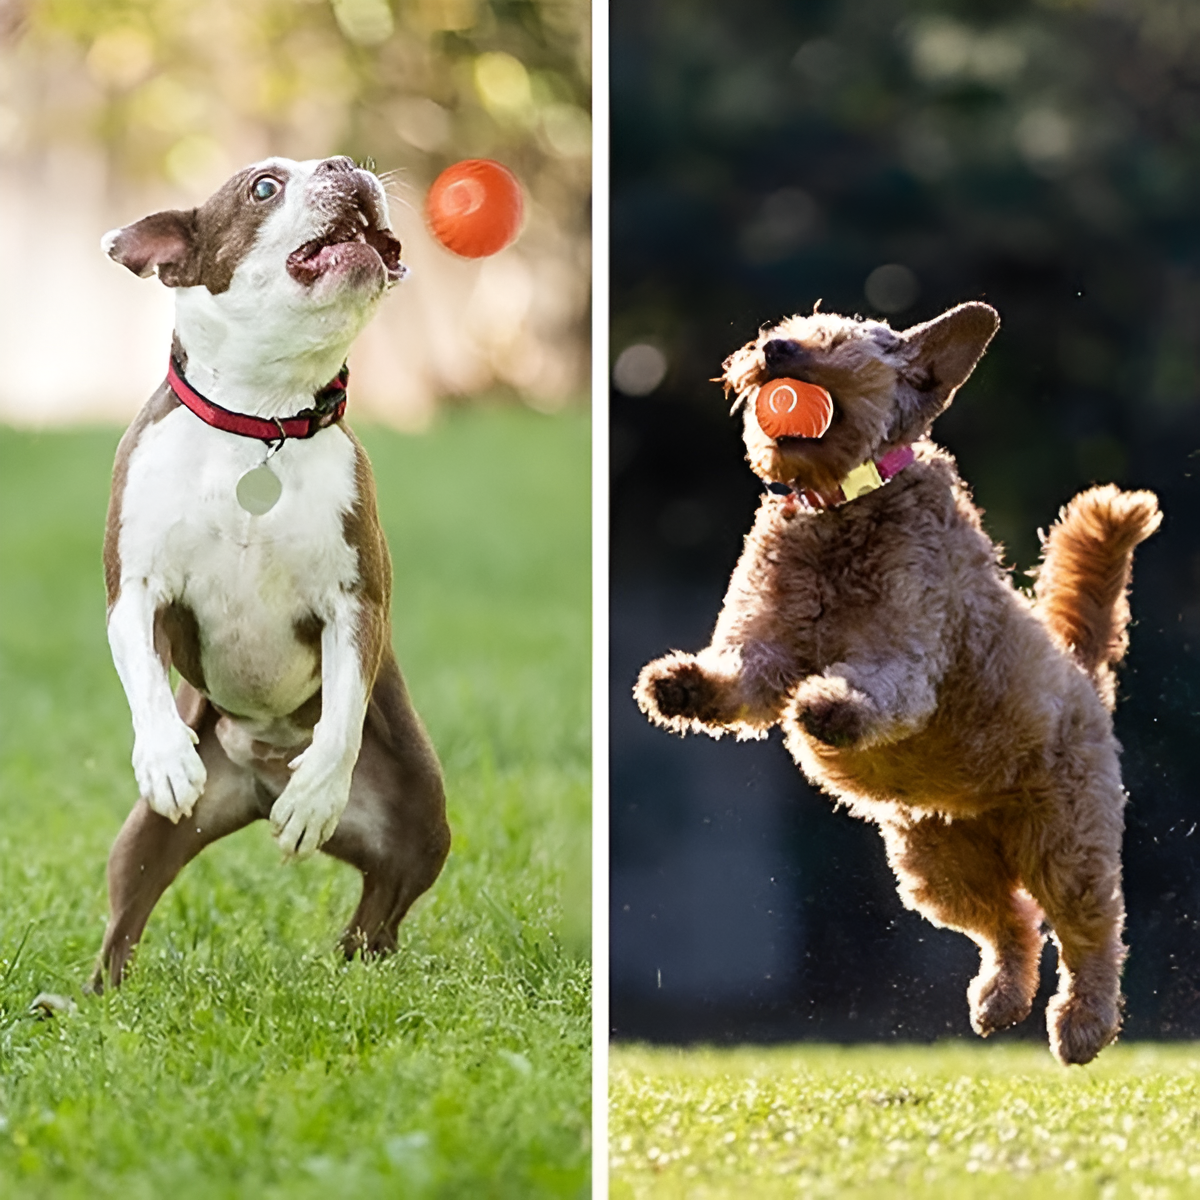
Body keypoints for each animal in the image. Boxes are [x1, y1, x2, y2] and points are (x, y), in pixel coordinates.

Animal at [93, 154, 451, 988]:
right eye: (264, 187)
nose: (346, 164)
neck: (262, 420)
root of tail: (257, 779)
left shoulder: (355, 605)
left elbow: (345, 702)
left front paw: (317, 791)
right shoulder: (134, 594)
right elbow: (143, 675)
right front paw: (164, 756)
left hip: (422, 820)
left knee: (380, 910)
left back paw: (353, 962)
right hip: (144, 841)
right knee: (123, 923)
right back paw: (87, 1000)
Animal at [638, 302, 1161, 1070]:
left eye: (838, 342)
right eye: (788, 326)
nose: (774, 348)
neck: (836, 509)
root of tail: (1080, 673)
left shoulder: (906, 653)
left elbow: (874, 686)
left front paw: (828, 704)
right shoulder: (761, 644)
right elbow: (739, 674)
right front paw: (679, 683)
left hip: (1065, 841)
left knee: (1090, 933)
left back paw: (1082, 1025)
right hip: (936, 864)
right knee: (1010, 924)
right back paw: (999, 1000)